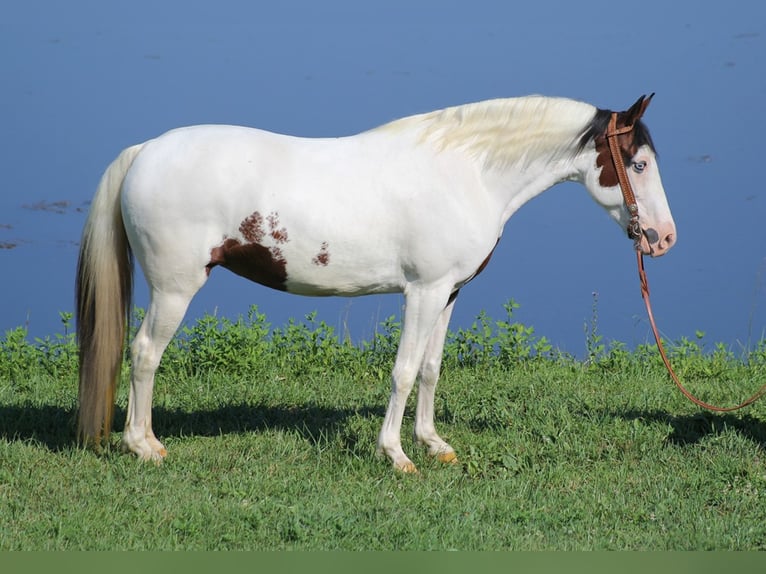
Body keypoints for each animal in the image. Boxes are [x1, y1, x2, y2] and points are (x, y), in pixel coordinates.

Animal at [76, 94, 680, 472]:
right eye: (639, 163)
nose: (663, 238)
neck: (467, 174)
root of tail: (145, 151)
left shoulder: (449, 293)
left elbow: (432, 369)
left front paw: (434, 444)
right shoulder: (423, 291)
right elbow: (404, 371)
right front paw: (397, 455)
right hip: (175, 289)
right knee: (144, 353)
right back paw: (144, 446)